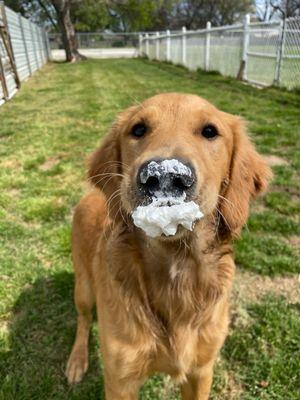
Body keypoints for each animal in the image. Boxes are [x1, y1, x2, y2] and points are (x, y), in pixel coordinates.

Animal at [65, 94, 272, 400]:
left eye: (210, 131)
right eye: (138, 129)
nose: (164, 175)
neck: (176, 268)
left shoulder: (201, 371)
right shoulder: (120, 379)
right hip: (84, 287)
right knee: (82, 319)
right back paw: (77, 360)